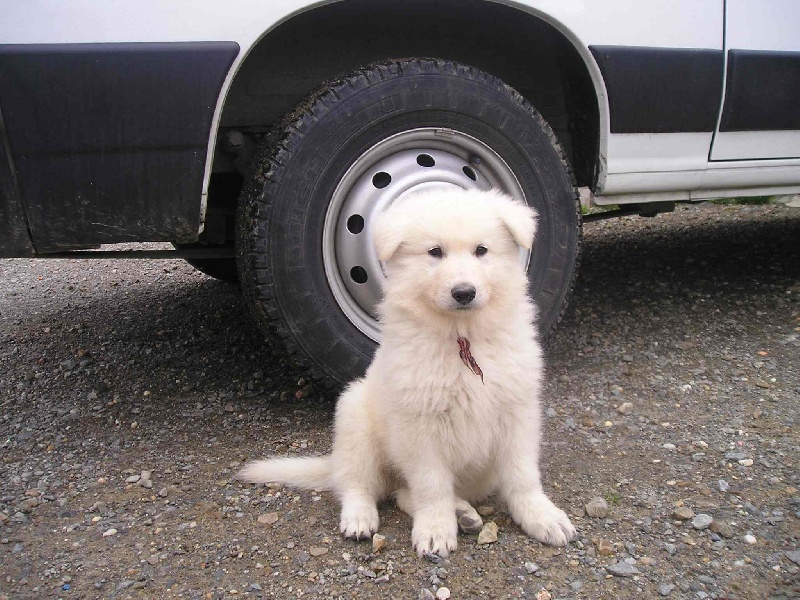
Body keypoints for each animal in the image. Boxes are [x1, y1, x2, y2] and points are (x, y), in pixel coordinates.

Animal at [238, 189, 576, 556]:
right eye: (435, 252)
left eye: (482, 250)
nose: (464, 292)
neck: (462, 339)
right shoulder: (419, 425)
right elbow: (431, 484)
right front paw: (436, 528)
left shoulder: (517, 412)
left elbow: (522, 474)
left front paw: (541, 516)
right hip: (355, 419)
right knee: (358, 484)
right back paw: (362, 517)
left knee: (401, 494)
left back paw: (463, 513)